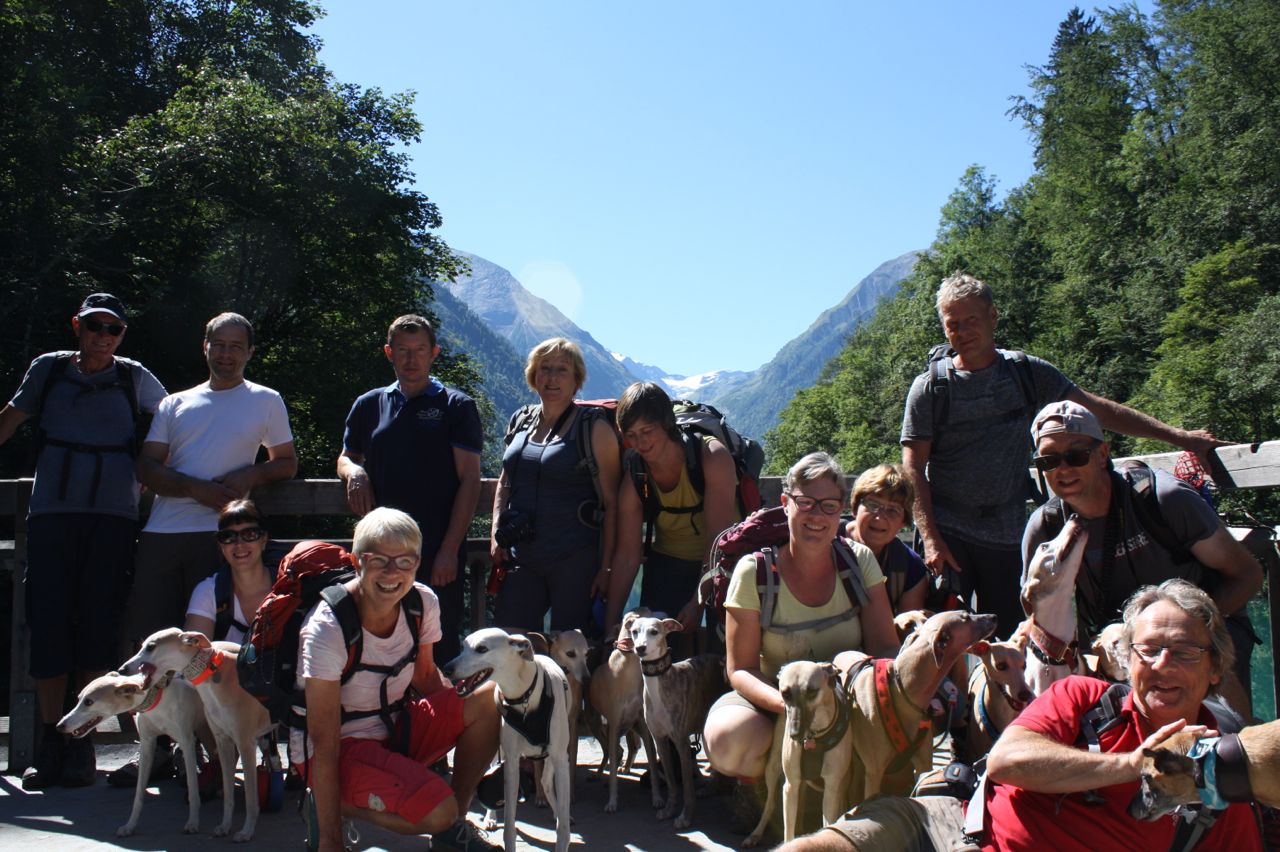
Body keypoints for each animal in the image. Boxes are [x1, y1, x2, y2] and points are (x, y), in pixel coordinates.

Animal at [58, 670, 213, 838]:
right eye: (79, 698)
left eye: (88, 702)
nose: (59, 726)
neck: (157, 699)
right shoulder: (147, 744)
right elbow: (138, 795)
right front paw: (130, 826)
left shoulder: (187, 743)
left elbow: (192, 789)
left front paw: (192, 822)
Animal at [120, 628, 273, 842]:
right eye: (142, 645)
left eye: (151, 646)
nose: (122, 669)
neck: (215, 673)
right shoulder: (223, 740)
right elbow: (228, 795)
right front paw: (224, 826)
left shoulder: (245, 742)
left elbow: (251, 797)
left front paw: (246, 831)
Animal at [445, 628, 572, 852]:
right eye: (462, 646)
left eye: (482, 649)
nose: (447, 669)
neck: (524, 695)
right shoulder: (512, 762)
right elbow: (510, 823)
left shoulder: (560, 759)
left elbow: (563, 827)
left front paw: (562, 829)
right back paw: (490, 817)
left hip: (552, 758)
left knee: (546, 781)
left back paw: (557, 812)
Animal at [622, 612, 726, 830]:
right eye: (634, 631)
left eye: (654, 631)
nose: (640, 648)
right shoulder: (661, 740)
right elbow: (671, 781)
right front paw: (669, 810)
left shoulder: (680, 741)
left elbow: (686, 786)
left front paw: (685, 817)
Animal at [745, 661, 855, 847]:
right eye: (785, 693)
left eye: (812, 691)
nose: (794, 734)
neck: (815, 737)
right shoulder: (790, 786)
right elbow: (788, 832)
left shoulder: (832, 788)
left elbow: (829, 823)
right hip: (773, 769)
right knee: (770, 804)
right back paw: (756, 833)